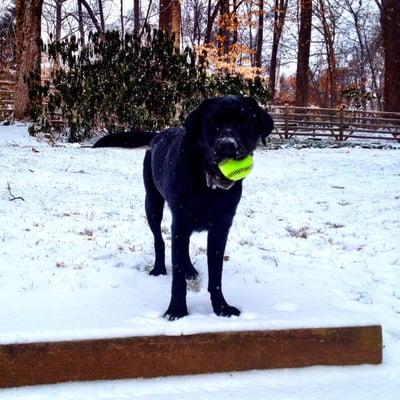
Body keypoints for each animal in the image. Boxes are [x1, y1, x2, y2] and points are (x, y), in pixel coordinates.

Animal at [95, 96, 274, 318]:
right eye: (212, 123)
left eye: (244, 123)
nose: (227, 146)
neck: (208, 186)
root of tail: (159, 133)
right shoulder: (179, 223)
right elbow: (177, 275)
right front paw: (177, 309)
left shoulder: (220, 228)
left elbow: (216, 274)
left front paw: (221, 307)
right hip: (152, 204)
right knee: (159, 240)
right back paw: (159, 268)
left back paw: (190, 269)